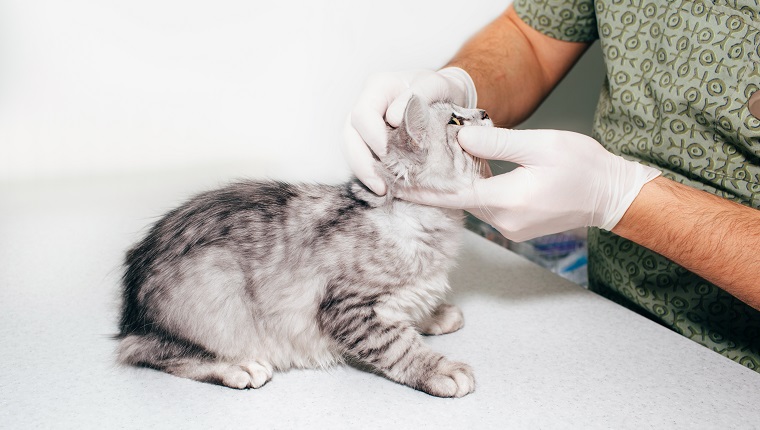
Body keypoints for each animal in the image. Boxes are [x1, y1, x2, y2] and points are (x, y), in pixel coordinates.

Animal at [115, 95, 490, 398]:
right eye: (455, 122)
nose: (485, 112)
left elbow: (414, 311)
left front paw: (436, 314)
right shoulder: (350, 308)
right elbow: (399, 345)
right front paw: (440, 370)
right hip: (215, 288)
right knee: (144, 352)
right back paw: (237, 367)